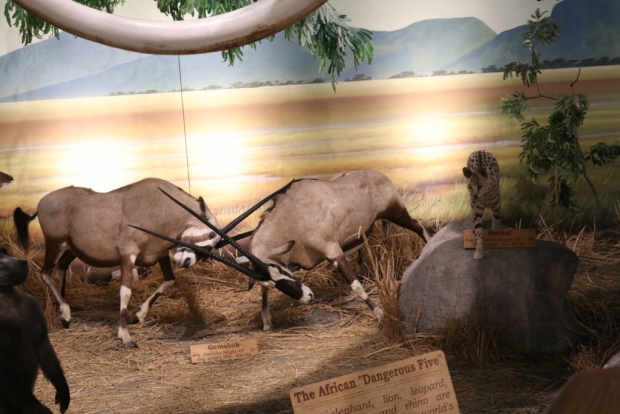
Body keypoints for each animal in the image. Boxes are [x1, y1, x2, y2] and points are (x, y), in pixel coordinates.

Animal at [0, 249, 70, 414]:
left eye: (6, 253)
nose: (23, 262)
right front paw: (39, 409)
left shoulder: (33, 308)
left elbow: (42, 347)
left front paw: (63, 392)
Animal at [150, 170, 429, 331]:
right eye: (275, 280)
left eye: (282, 272)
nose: (308, 298)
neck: (291, 220)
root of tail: (378, 174)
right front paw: (266, 321)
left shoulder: (333, 252)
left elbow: (355, 286)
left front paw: (380, 314)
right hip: (366, 228)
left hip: (397, 212)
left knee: (419, 227)